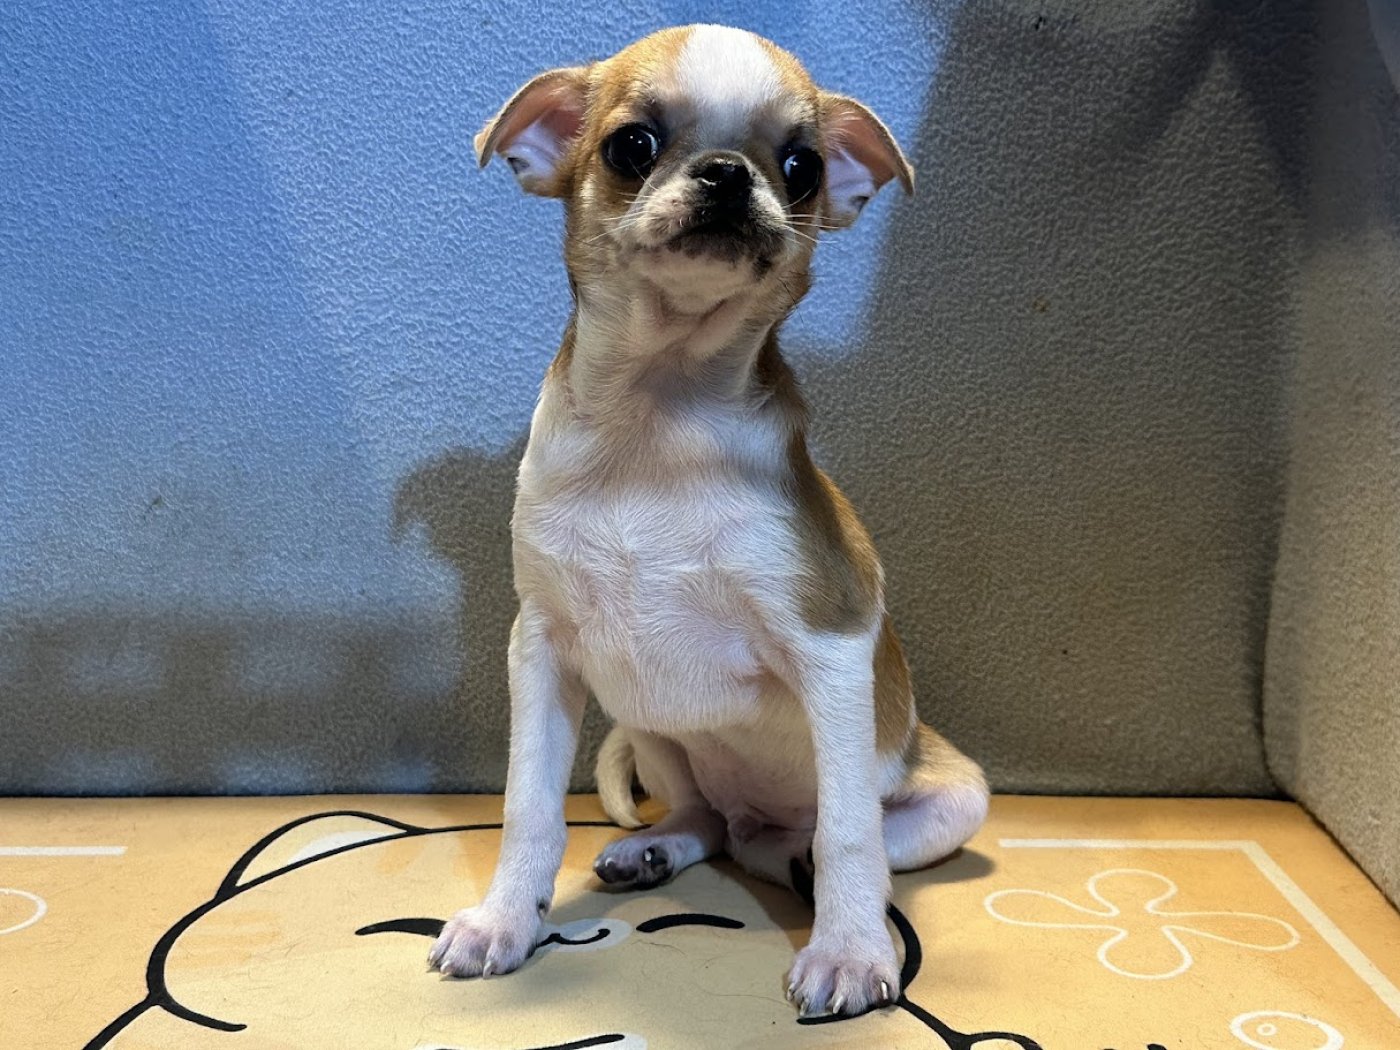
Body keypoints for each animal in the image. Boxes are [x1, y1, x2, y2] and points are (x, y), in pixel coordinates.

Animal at [428, 24, 990, 1018]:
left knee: (810, 841)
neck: (660, 417)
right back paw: (658, 847)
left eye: (802, 168)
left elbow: (851, 833)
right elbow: (528, 806)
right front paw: (505, 920)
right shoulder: (543, 649)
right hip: (648, 721)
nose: (729, 173)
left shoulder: (831, 653)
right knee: (712, 823)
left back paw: (798, 866)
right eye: (631, 146)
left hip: (951, 795)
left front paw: (850, 952)